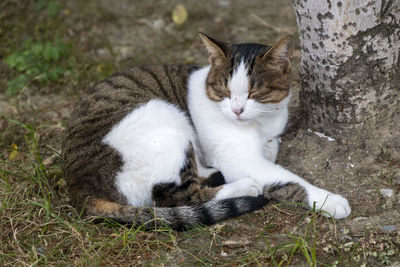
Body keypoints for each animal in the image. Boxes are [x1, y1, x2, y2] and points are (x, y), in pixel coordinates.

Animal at [61, 33, 350, 230]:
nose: (237, 110)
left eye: (254, 92)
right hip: (165, 121)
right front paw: (327, 199)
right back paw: (243, 187)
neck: (262, 123)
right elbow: (287, 178)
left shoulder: (270, 139)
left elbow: (271, 152)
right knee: (180, 196)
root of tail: (79, 187)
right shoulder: (237, 157)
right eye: (225, 91)